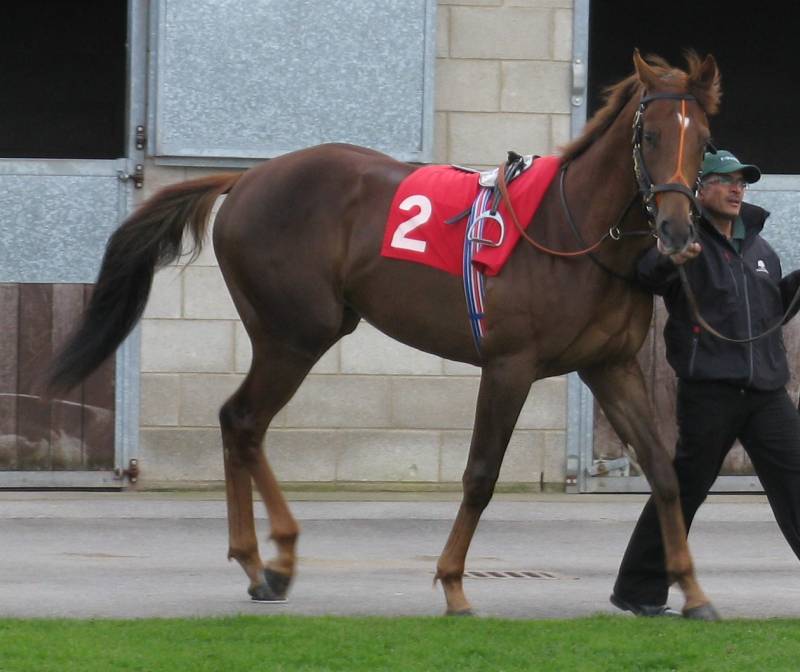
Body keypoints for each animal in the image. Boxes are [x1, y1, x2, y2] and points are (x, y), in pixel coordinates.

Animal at [49, 50, 721, 619]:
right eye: (651, 136)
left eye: (703, 141)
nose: (676, 230)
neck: (571, 232)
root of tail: (245, 180)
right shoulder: (511, 365)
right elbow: (481, 474)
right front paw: (453, 585)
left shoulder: (611, 366)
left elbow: (664, 473)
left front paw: (692, 591)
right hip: (295, 334)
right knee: (242, 420)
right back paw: (268, 558)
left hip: (297, 334)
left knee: (243, 425)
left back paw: (267, 561)